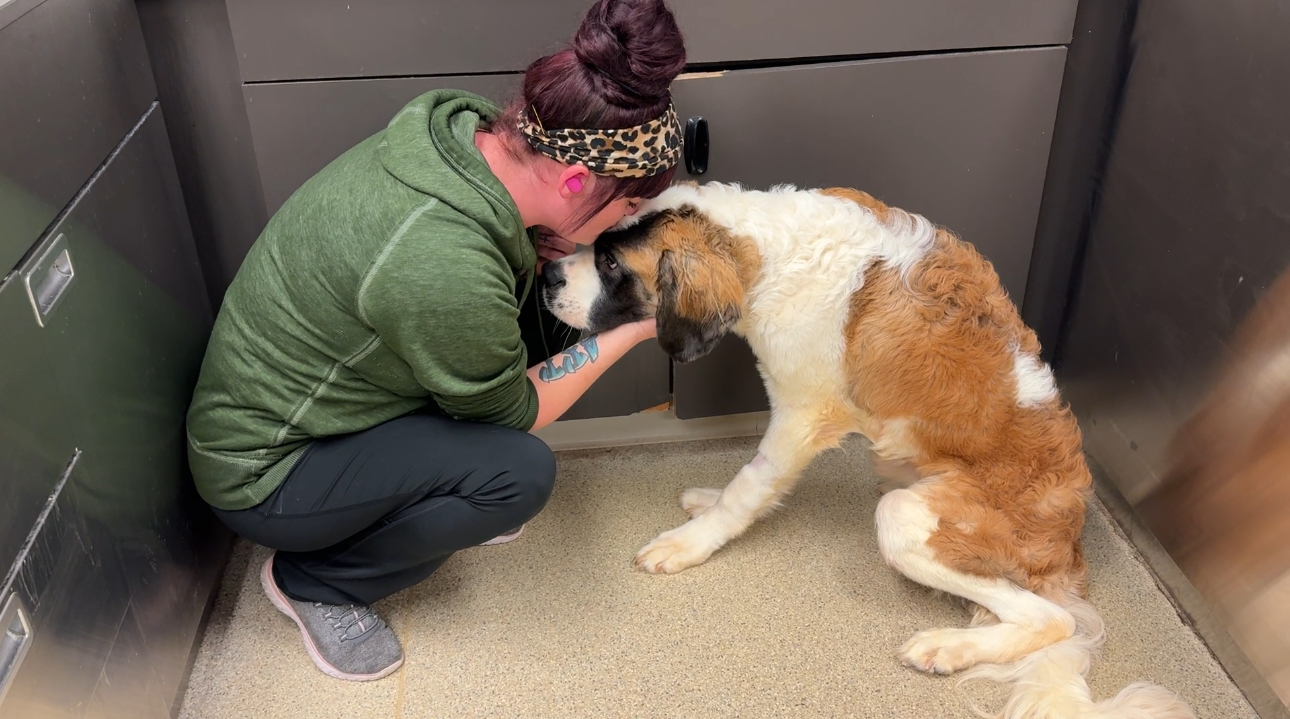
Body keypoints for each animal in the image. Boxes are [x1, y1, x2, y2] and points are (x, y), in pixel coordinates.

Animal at [539, 180, 1191, 717]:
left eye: (610, 264)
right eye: (595, 245)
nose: (547, 276)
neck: (766, 253)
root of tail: (1069, 543)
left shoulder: (803, 412)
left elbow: (752, 484)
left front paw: (691, 542)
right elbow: (747, 484)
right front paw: (707, 501)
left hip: (907, 516)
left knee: (1049, 618)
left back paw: (948, 647)